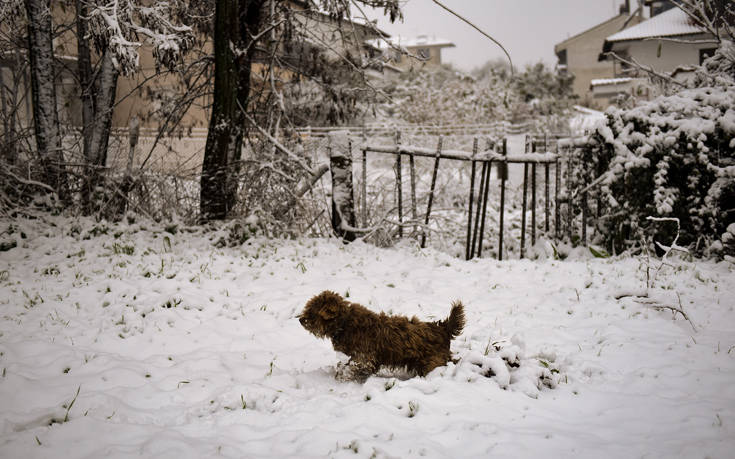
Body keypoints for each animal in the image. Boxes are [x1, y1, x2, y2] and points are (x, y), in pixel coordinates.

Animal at [300, 292, 466, 384]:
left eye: (312, 312)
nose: (301, 319)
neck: (344, 324)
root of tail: (443, 328)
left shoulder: (364, 358)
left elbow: (351, 368)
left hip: (432, 362)